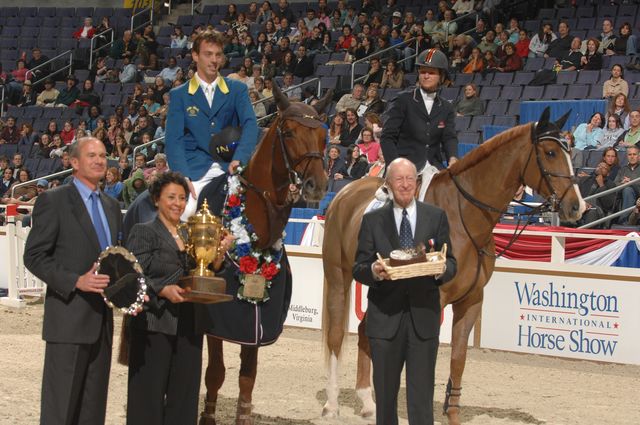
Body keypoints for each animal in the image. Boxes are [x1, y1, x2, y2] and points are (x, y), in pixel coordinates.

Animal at [199, 83, 330, 424]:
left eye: (323, 136)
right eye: (289, 132)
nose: (317, 185)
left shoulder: (256, 325)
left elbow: (248, 376)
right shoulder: (217, 320)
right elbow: (215, 372)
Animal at [320, 106, 584, 420]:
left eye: (571, 152)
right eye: (550, 152)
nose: (577, 206)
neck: (465, 216)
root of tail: (343, 195)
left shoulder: (471, 301)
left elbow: (458, 359)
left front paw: (453, 413)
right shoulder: (434, 301)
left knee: (365, 331)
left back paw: (369, 403)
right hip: (338, 277)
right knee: (336, 337)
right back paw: (332, 404)